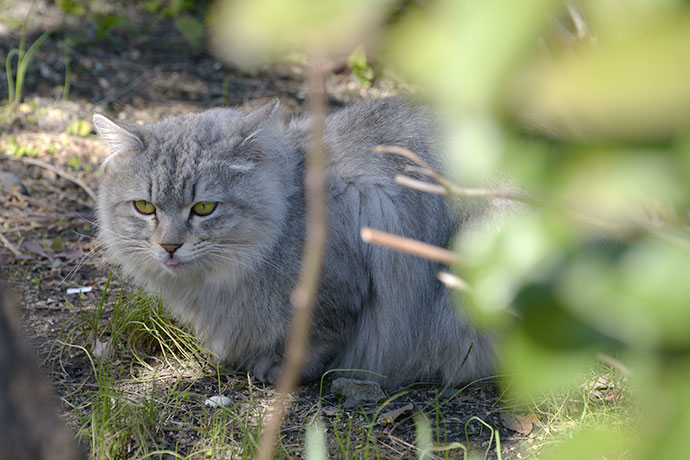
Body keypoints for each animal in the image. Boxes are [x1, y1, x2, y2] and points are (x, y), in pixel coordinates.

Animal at [94, 99, 492, 386]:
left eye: (204, 208)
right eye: (145, 207)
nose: (169, 246)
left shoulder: (339, 292)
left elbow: (315, 343)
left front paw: (280, 369)